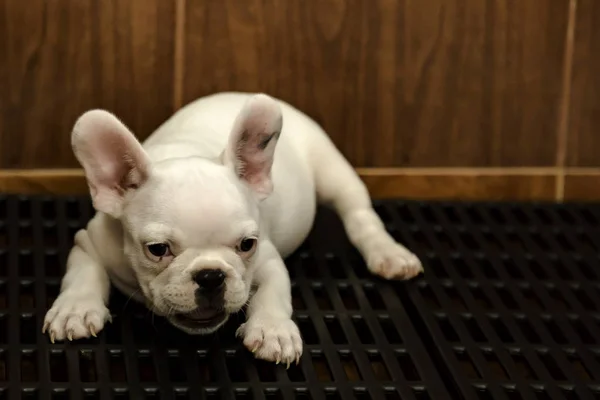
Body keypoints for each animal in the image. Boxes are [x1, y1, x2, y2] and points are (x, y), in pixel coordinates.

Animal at [42, 91, 422, 366]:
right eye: (157, 249)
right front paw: (76, 308)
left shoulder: (267, 260)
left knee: (359, 214)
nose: (211, 276)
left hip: (333, 171)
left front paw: (272, 330)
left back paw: (388, 253)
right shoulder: (90, 242)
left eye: (247, 244)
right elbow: (82, 274)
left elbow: (273, 293)